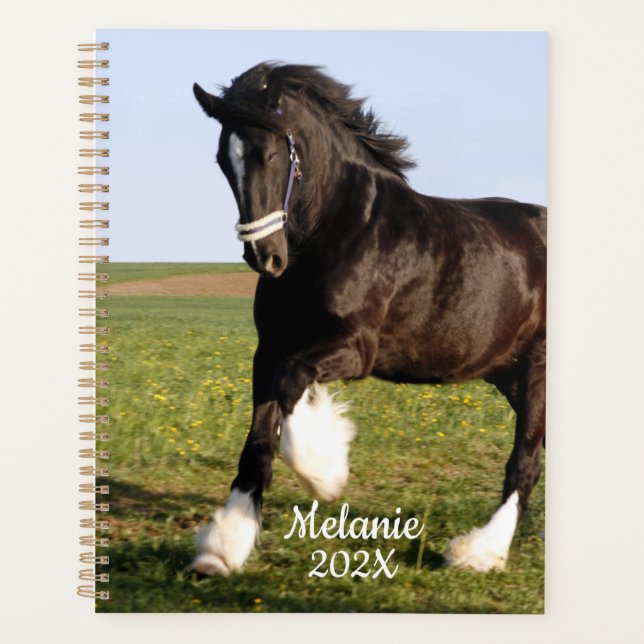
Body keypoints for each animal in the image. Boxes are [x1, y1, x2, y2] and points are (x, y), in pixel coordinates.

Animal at [191, 62, 546, 575]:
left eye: (270, 153)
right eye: (223, 159)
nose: (265, 257)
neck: (338, 229)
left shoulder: (356, 348)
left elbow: (293, 385)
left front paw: (326, 472)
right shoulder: (270, 349)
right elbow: (258, 442)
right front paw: (221, 548)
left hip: (536, 367)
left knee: (525, 462)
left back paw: (479, 551)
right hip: (508, 373)